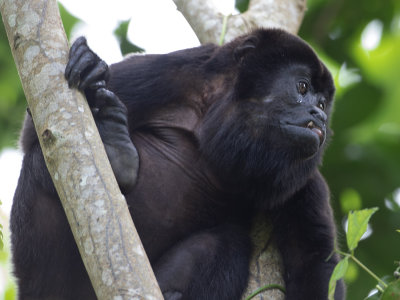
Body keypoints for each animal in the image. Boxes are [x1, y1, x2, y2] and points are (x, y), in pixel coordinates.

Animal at [10, 27, 346, 298]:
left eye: (322, 102)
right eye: (302, 87)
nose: (320, 116)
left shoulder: (304, 183)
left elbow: (314, 262)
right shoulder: (171, 72)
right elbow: (36, 132)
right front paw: (91, 66)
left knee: (225, 242)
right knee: (41, 166)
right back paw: (116, 152)